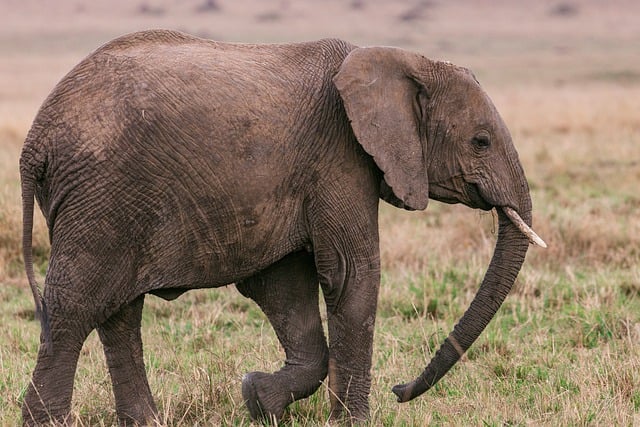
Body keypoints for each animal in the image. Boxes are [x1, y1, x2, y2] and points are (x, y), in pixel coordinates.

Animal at [20, 29, 544, 424]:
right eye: (481, 141)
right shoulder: (340, 156)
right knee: (73, 309)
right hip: (100, 198)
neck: (399, 59)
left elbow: (284, 286)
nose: (400, 390)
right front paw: (351, 422)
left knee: (119, 313)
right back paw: (49, 421)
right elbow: (351, 274)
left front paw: (256, 397)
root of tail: (34, 143)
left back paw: (146, 422)